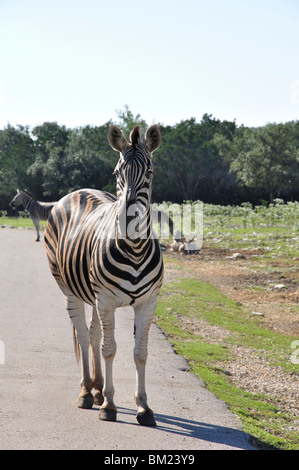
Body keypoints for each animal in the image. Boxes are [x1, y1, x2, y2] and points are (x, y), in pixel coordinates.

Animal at [45, 125, 164, 426]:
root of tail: (79, 190)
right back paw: (88, 392)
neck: (135, 250)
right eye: (116, 172)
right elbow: (110, 349)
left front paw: (144, 407)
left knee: (93, 332)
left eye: (150, 172)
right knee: (83, 335)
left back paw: (98, 389)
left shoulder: (148, 303)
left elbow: (140, 353)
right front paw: (110, 405)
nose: (127, 218)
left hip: (95, 295)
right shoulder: (107, 300)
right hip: (71, 290)